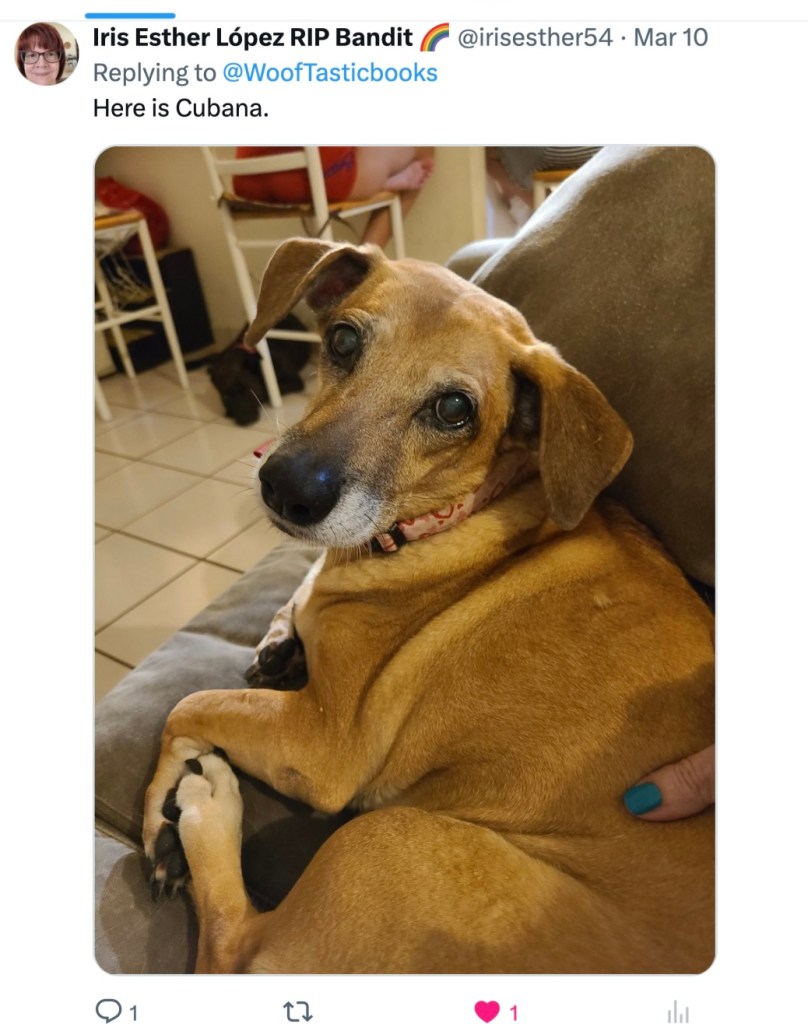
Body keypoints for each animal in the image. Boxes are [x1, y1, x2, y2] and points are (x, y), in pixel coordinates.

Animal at [144, 238, 714, 974]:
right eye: (342, 340)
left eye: (452, 409)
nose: (286, 489)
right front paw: (280, 639)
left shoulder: (321, 747)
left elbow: (186, 706)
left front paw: (159, 816)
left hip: (382, 842)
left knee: (233, 950)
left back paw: (207, 810)